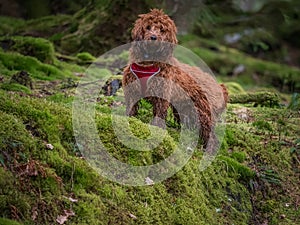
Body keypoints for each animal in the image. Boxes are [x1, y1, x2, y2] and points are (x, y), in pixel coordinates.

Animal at [122, 9, 227, 149]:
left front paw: (157, 130)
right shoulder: (132, 91)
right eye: (148, 27)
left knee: (212, 137)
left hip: (205, 113)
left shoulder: (161, 95)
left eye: (162, 29)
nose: (153, 37)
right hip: (188, 110)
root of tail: (218, 85)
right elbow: (131, 109)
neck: (149, 63)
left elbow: (159, 114)